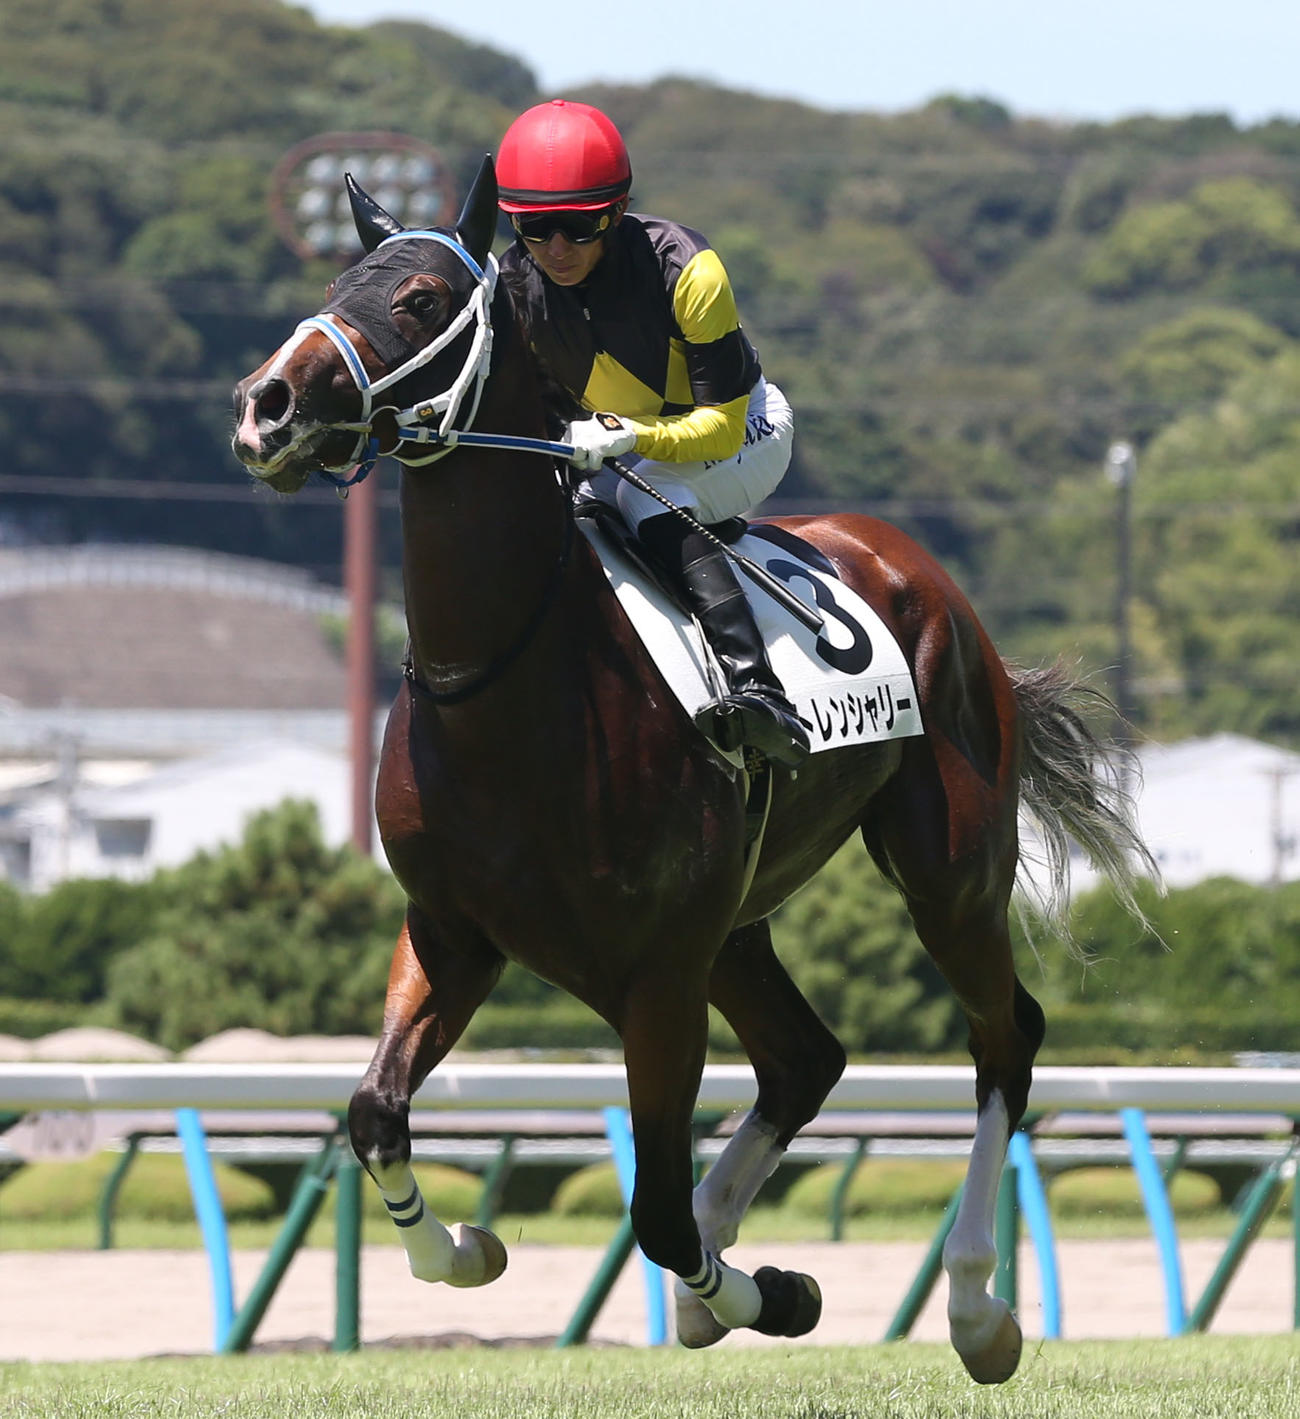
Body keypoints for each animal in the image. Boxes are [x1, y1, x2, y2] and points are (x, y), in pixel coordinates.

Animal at [231, 157, 1153, 1382]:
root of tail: (911, 563)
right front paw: (469, 1247)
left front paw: (781, 1292)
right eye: (338, 282)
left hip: (949, 872)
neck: (509, 680)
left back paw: (972, 1306)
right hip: (739, 918)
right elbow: (375, 1112)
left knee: (1005, 1038)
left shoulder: (658, 976)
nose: (267, 406)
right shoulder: (453, 930)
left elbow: (656, 1213)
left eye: (421, 299)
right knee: (807, 1058)